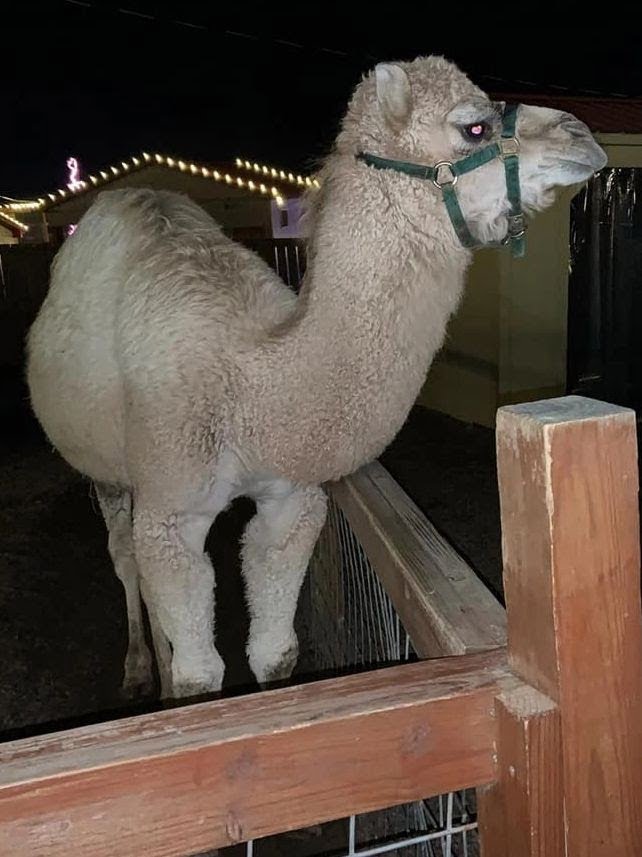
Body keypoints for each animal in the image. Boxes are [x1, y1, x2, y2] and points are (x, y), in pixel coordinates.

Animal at [26, 53, 604, 700]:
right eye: (473, 126)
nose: (582, 135)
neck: (250, 382)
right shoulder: (171, 510)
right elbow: (200, 674)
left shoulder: (291, 501)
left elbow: (276, 652)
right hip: (105, 467)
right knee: (124, 553)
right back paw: (137, 668)